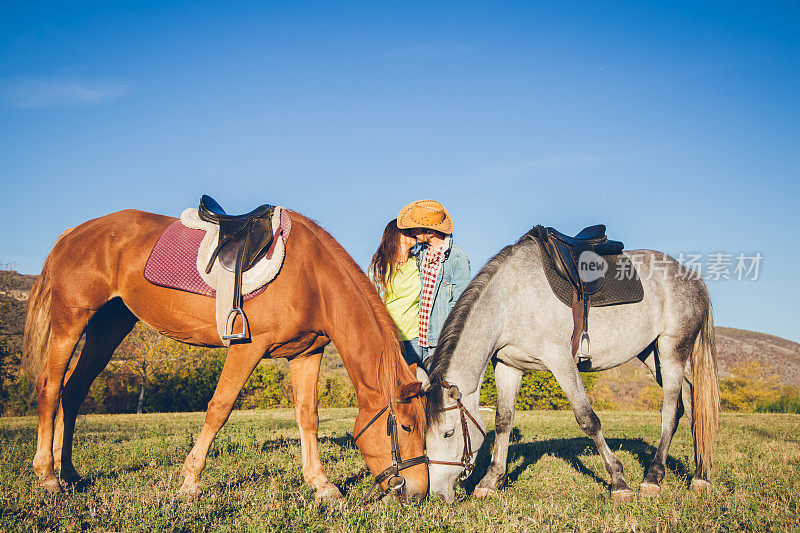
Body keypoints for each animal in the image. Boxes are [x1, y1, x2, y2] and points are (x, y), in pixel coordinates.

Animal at [21, 207, 428, 498]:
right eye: (406, 427)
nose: (418, 493)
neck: (312, 277)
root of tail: (73, 233)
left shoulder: (305, 354)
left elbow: (307, 417)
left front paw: (321, 484)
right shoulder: (248, 348)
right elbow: (219, 409)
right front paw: (190, 482)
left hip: (108, 328)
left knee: (73, 392)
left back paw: (70, 474)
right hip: (69, 324)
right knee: (50, 389)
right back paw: (48, 477)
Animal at [424, 231, 720, 500]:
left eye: (448, 433)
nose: (437, 495)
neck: (511, 299)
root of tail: (691, 276)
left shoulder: (561, 360)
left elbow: (588, 420)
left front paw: (618, 481)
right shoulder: (508, 366)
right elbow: (503, 421)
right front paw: (490, 480)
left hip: (672, 350)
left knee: (671, 411)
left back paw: (653, 477)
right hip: (652, 353)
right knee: (692, 404)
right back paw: (701, 475)